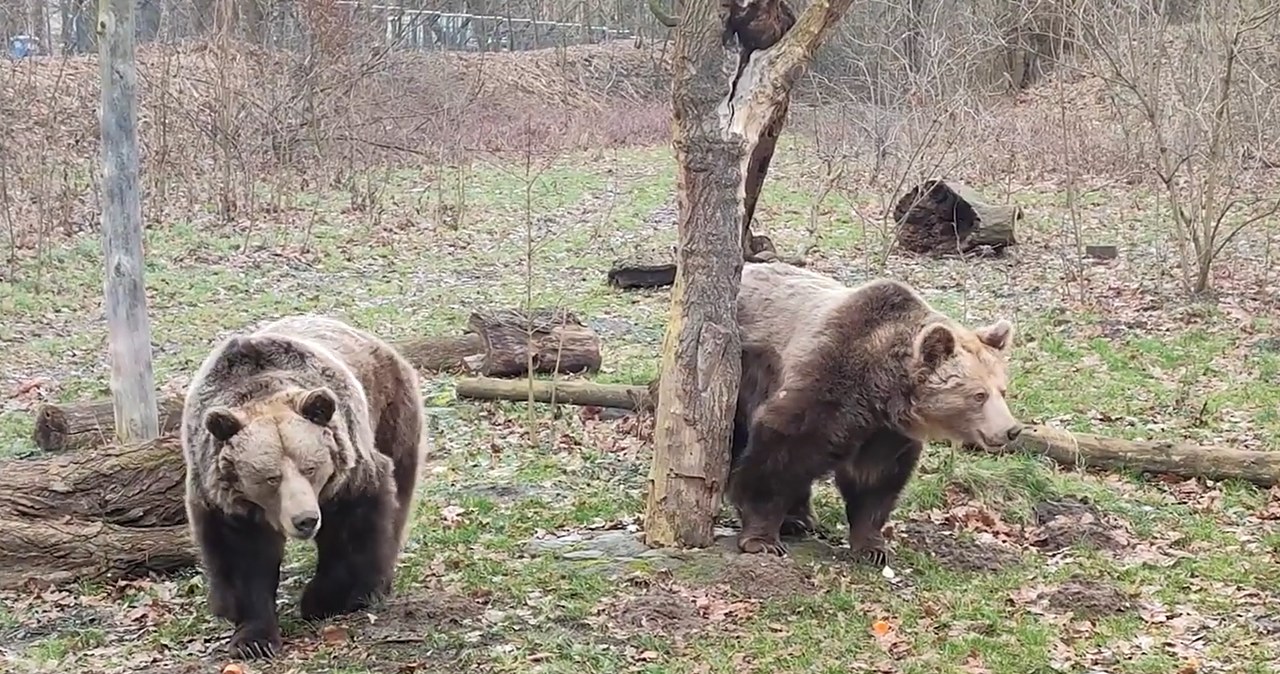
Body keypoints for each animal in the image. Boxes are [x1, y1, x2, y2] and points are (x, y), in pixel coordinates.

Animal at [181, 314, 430, 659]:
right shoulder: (224, 496)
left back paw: (375, 585)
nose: (305, 520)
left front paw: (323, 600)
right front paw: (253, 639)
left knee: (397, 498)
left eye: (310, 468)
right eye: (270, 477)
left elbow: (351, 532)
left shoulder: (347, 472)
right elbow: (241, 557)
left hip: (390, 412)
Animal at [732, 260, 1018, 567]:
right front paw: (762, 539)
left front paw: (872, 546)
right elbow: (780, 451)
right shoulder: (828, 385)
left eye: (1002, 390)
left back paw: (800, 519)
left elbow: (876, 482)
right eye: (979, 395)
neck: (880, 391)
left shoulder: (886, 434)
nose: (1011, 430)